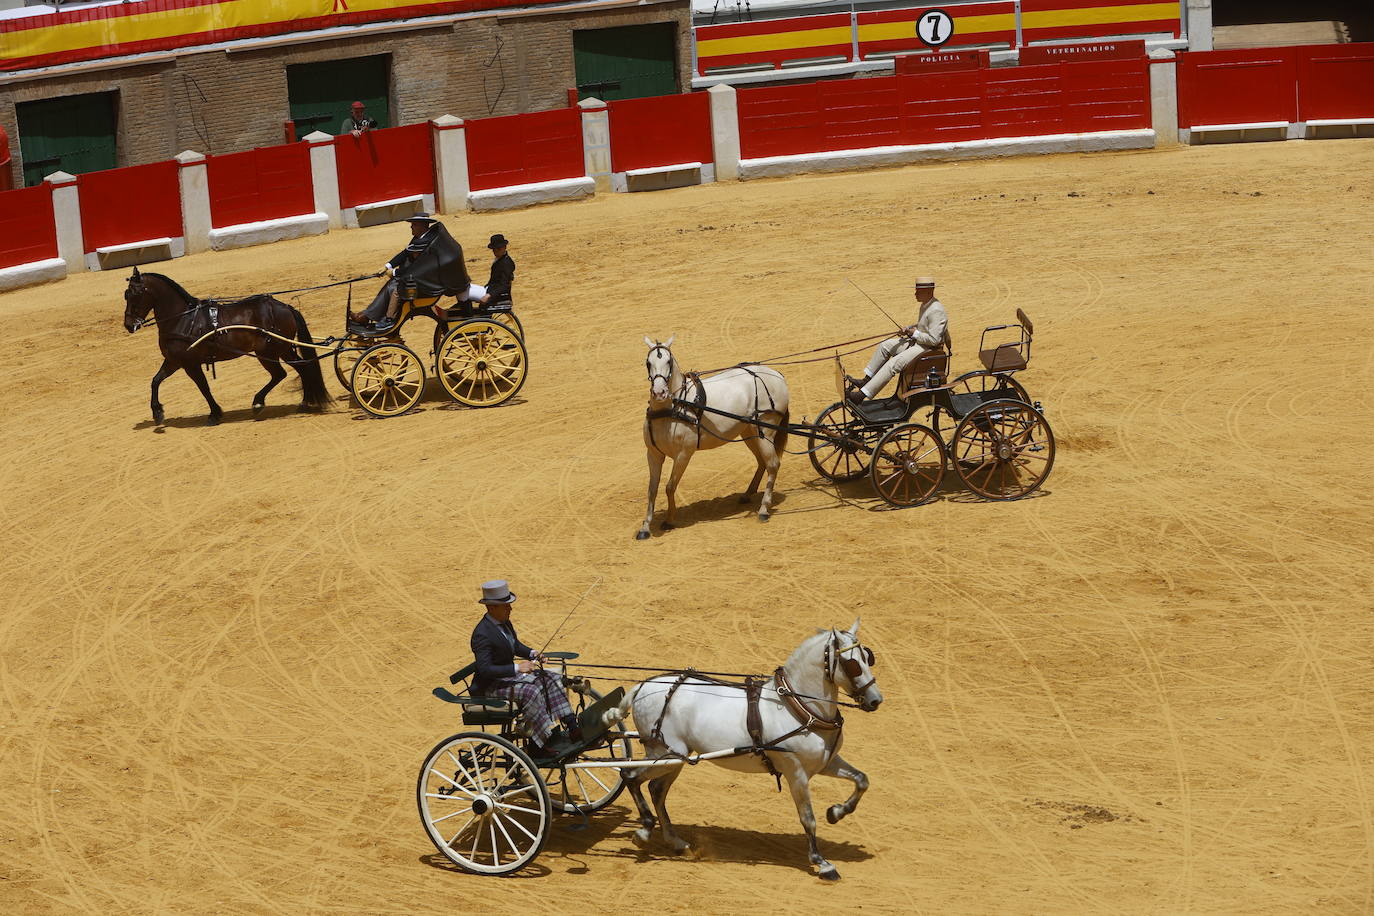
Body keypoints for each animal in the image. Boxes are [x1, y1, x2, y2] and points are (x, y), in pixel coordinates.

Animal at [120, 269, 329, 425]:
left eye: (135, 294)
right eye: (125, 294)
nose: (129, 325)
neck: (182, 319)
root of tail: (285, 307)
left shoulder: (190, 364)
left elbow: (203, 387)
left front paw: (214, 414)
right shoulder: (174, 361)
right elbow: (155, 381)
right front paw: (157, 412)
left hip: (268, 352)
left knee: (282, 373)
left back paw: (260, 403)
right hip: (283, 350)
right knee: (301, 367)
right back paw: (303, 401)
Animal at [607, 623, 884, 878]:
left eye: (867, 657)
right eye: (852, 664)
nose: (875, 700)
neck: (800, 708)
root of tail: (643, 686)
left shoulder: (827, 762)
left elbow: (862, 780)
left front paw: (836, 812)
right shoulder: (796, 773)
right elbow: (808, 817)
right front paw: (821, 862)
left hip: (675, 758)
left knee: (656, 790)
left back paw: (676, 842)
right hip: (664, 755)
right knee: (630, 777)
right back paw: (644, 830)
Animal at [637, 335, 791, 538]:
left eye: (668, 362)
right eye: (648, 363)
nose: (659, 393)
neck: (671, 409)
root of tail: (776, 374)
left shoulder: (683, 454)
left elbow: (670, 486)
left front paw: (670, 520)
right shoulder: (653, 454)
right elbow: (651, 490)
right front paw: (645, 527)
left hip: (765, 432)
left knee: (772, 464)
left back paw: (764, 509)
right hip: (750, 432)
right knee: (762, 462)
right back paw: (747, 494)